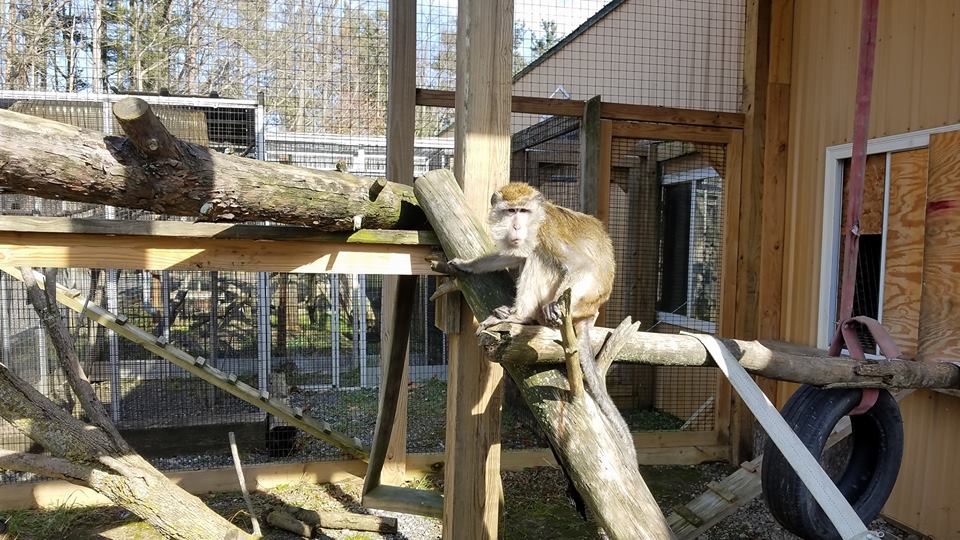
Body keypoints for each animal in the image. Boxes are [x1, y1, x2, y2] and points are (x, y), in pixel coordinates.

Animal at [442, 182, 637, 468]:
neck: (537, 219)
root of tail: (592, 311)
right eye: (511, 211)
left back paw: (521, 315)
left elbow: (579, 264)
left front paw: (548, 305)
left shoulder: (545, 233)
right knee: (527, 256)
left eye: (523, 212)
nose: (516, 227)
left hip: (573, 301)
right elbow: (512, 256)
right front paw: (466, 265)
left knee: (537, 256)